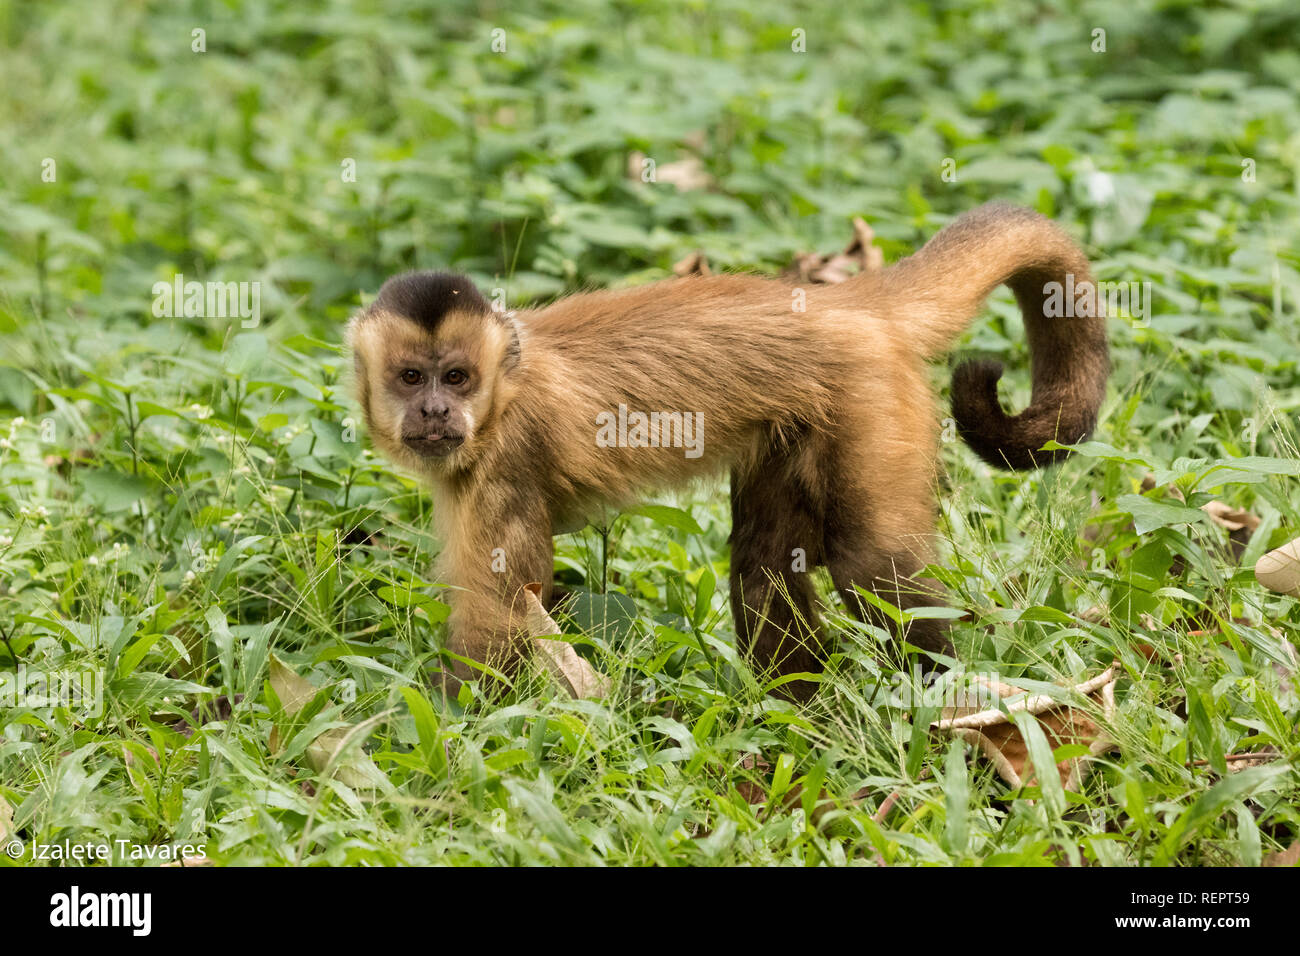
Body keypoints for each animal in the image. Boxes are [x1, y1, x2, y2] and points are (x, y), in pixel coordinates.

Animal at [345, 201, 1107, 697]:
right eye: (411, 378)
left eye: (456, 377)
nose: (435, 411)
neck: (502, 393)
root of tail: (847, 303)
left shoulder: (501, 462)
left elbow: (499, 618)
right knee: (764, 564)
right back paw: (791, 710)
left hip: (870, 396)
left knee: (872, 565)